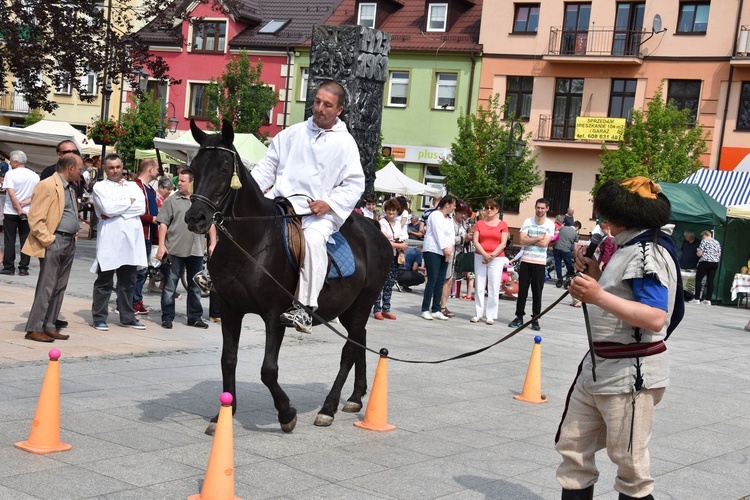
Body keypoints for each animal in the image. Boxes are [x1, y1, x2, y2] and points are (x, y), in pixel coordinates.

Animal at [185, 119, 394, 432]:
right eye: (194, 167)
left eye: (223, 168)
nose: (195, 218)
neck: (253, 241)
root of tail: (376, 230)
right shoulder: (232, 310)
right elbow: (228, 360)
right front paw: (224, 414)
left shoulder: (274, 315)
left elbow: (268, 370)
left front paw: (286, 413)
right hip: (348, 308)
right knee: (360, 340)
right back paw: (356, 397)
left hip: (364, 302)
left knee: (348, 351)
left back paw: (329, 408)